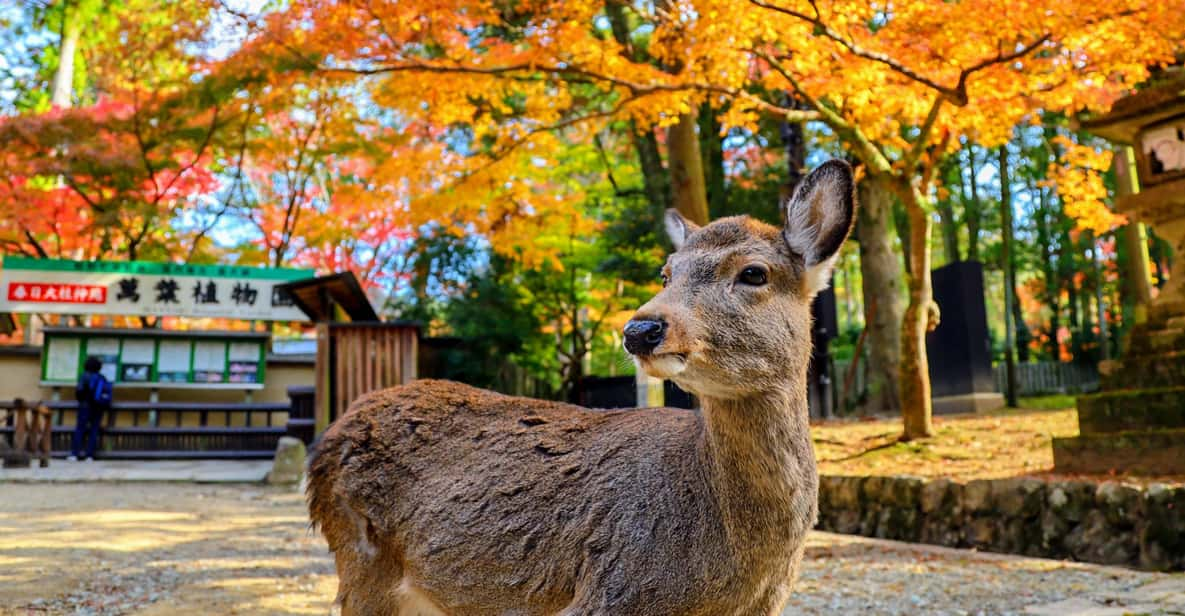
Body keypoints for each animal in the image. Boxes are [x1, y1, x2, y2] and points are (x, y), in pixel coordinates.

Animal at [305, 159, 857, 616]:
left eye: (754, 273)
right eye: (666, 272)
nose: (641, 329)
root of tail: (335, 429)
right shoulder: (609, 590)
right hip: (362, 559)